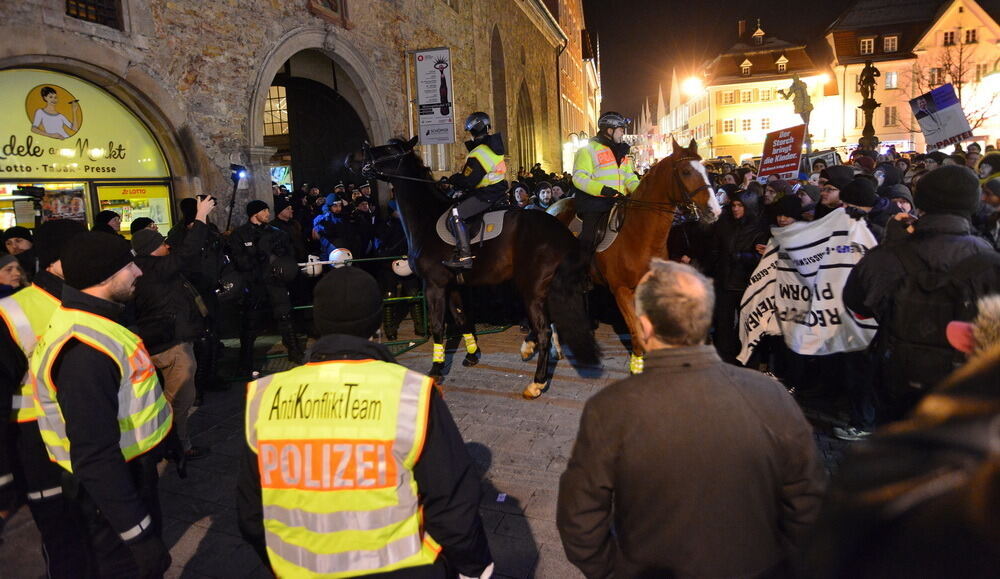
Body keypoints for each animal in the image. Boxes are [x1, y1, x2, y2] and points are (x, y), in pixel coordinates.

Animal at [548, 139, 720, 372]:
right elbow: (636, 330)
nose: (715, 210)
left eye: (706, 171)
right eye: (685, 171)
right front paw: (637, 363)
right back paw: (554, 348)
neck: (638, 235)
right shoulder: (620, 290)